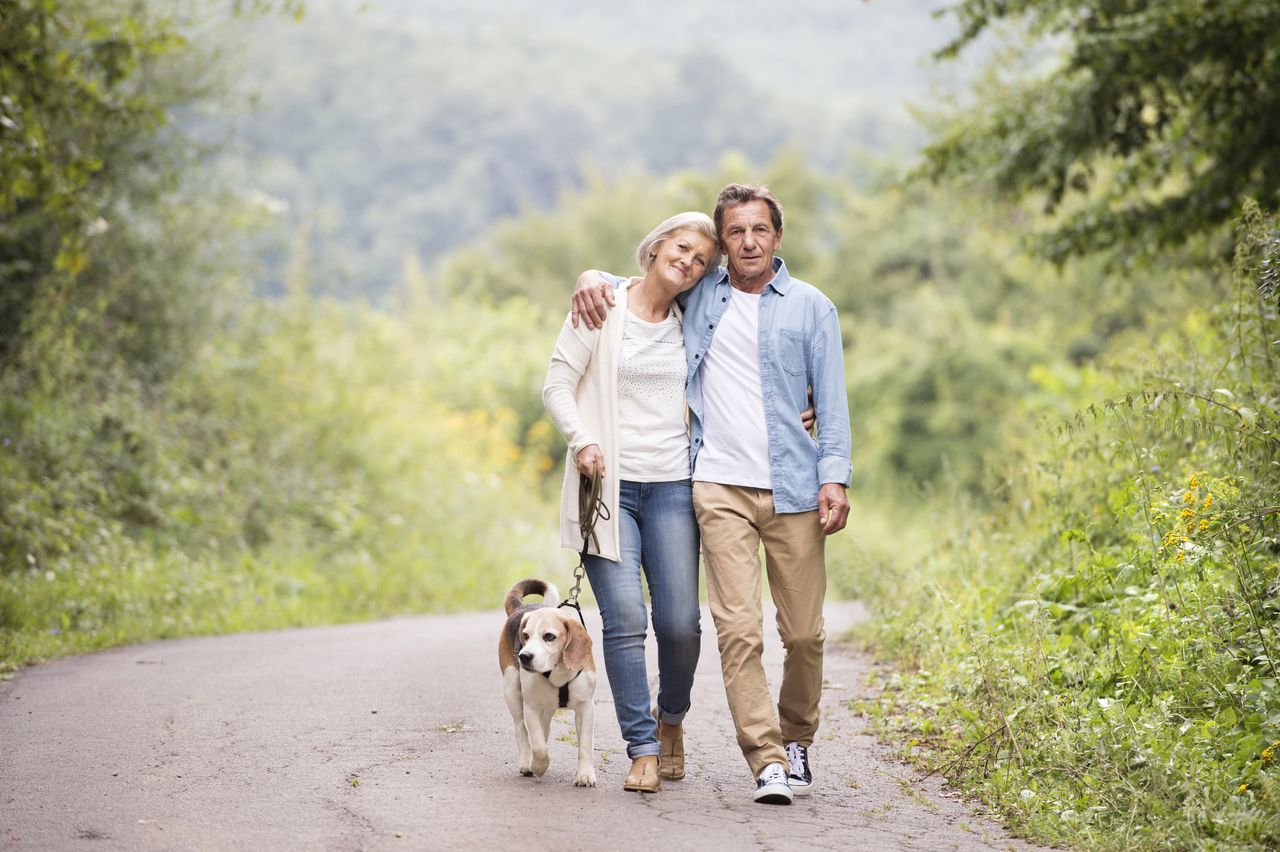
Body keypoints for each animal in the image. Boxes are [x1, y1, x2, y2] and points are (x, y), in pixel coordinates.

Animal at [499, 578, 599, 782]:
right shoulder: (531, 707)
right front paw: (539, 766)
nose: (524, 656)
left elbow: (585, 744)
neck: (558, 671)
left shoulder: (586, 707)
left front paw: (585, 774)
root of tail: (522, 607)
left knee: (544, 728)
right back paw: (526, 762)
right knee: (521, 730)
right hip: (512, 689)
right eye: (526, 636)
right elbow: (538, 746)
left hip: (547, 708)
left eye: (549, 637)